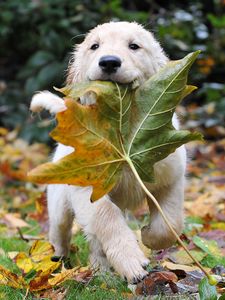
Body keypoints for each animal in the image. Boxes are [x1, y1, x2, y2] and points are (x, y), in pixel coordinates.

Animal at [30, 21, 186, 284]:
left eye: (134, 46)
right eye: (95, 46)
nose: (109, 62)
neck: (122, 129)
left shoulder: (171, 177)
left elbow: (169, 223)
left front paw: (148, 236)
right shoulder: (88, 189)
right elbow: (107, 218)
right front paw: (131, 261)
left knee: (94, 241)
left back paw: (100, 270)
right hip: (59, 202)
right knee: (61, 233)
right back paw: (62, 263)